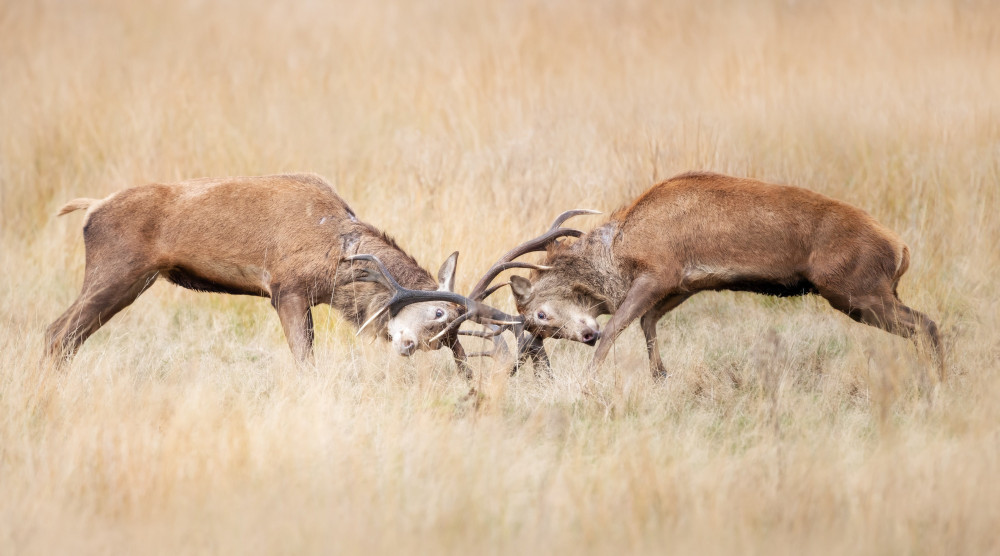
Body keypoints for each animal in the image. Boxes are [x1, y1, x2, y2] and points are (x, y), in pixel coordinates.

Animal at [43, 174, 472, 374]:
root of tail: (92, 208)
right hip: (116, 272)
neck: (341, 259)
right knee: (57, 333)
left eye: (450, 335)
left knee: (66, 335)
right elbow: (305, 361)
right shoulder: (287, 289)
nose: (411, 346)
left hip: (132, 281)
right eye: (439, 314)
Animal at [480, 172, 940, 380]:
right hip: (871, 295)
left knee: (929, 324)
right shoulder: (682, 284)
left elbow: (617, 327)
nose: (584, 334)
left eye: (538, 315)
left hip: (858, 292)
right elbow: (647, 324)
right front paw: (660, 377)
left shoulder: (658, 270)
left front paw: (589, 383)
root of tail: (902, 250)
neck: (619, 251)